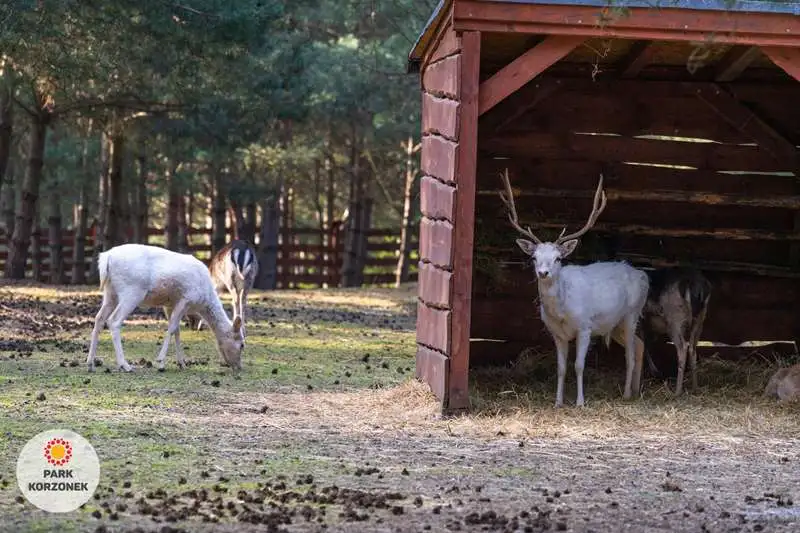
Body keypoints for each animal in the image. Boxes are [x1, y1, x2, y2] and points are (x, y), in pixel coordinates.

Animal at [87, 244, 245, 373]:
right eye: (242, 345)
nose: (239, 367)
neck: (204, 298)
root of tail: (106, 258)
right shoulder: (186, 299)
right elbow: (172, 328)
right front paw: (160, 362)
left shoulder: (170, 304)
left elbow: (177, 330)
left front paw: (182, 363)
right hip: (132, 291)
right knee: (114, 321)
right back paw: (125, 365)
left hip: (110, 293)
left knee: (99, 318)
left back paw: (90, 364)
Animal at [499, 169, 649, 407]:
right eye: (534, 257)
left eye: (558, 258)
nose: (543, 273)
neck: (562, 312)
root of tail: (643, 275)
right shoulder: (556, 333)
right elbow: (560, 368)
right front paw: (558, 402)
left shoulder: (585, 327)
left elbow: (579, 365)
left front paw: (580, 402)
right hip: (614, 323)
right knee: (639, 345)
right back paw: (635, 390)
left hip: (632, 314)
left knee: (631, 354)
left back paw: (626, 393)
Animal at [638, 267, 712, 396]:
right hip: (700, 320)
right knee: (693, 348)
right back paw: (695, 388)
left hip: (675, 320)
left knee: (683, 347)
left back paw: (677, 392)